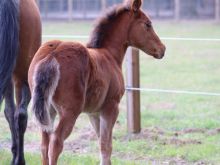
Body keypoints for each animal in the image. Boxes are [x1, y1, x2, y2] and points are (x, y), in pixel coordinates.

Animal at [27, 0, 165, 164]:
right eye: (147, 24)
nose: (162, 49)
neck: (109, 55)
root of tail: (52, 55)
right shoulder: (111, 107)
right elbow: (106, 146)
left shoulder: (93, 112)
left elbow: (101, 142)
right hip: (70, 112)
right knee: (56, 143)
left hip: (48, 111)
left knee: (44, 145)